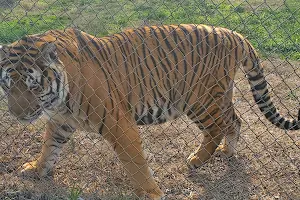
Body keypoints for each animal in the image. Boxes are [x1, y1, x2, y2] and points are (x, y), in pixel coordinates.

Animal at [0, 24, 298, 199]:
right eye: (8, 85)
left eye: (33, 85)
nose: (18, 115)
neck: (57, 98)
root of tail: (232, 33)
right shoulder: (61, 121)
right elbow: (49, 147)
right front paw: (37, 169)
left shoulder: (118, 123)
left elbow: (136, 163)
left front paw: (151, 193)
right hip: (219, 96)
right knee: (234, 121)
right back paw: (228, 151)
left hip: (199, 99)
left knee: (217, 128)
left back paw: (197, 159)